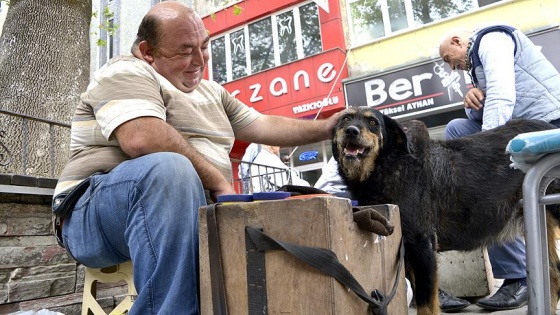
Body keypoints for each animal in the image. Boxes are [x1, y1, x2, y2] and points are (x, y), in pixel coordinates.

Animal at [330, 107, 560, 315]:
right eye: (346, 119)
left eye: (372, 122)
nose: (351, 131)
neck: (389, 165)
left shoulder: (422, 245)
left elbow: (426, 304)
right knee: (552, 272)